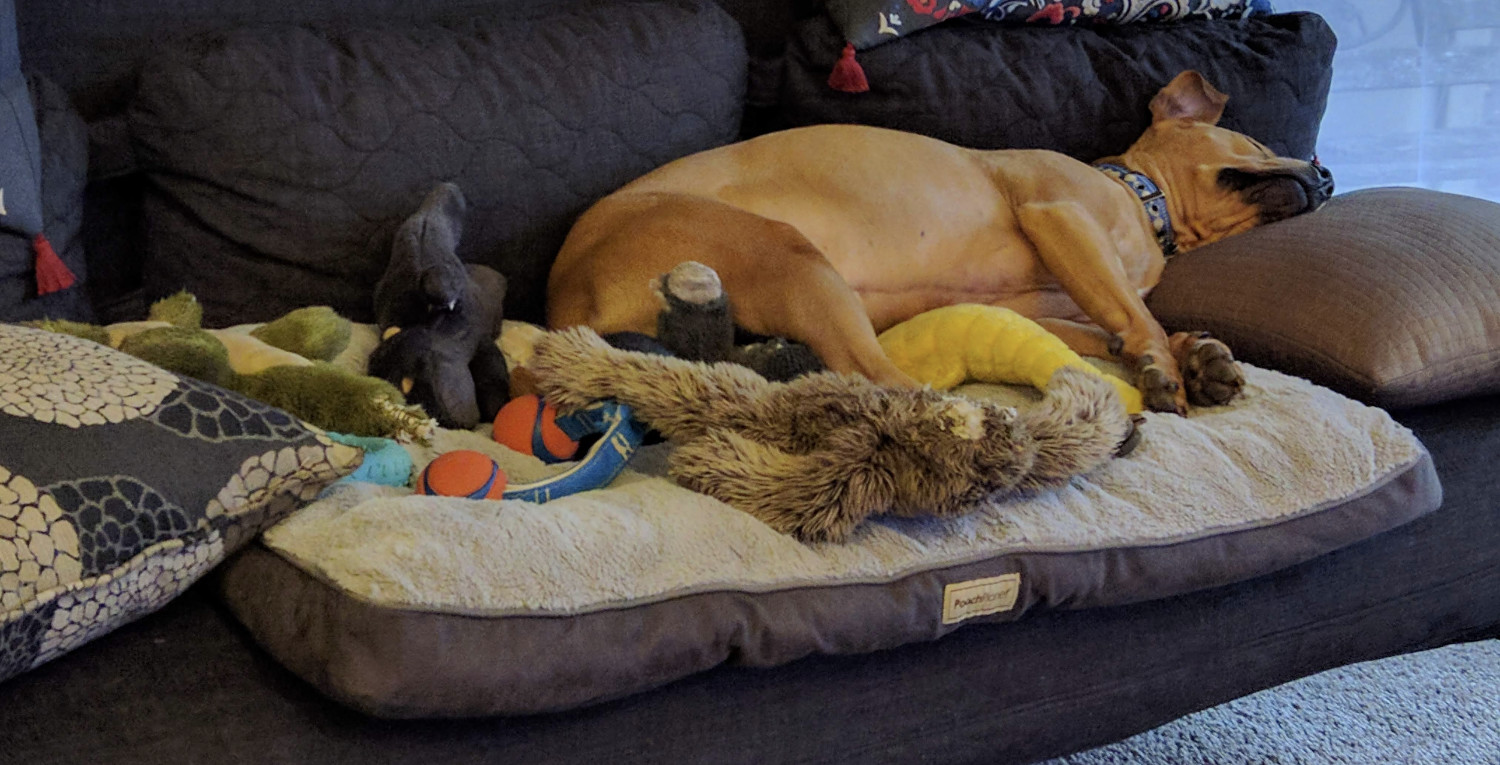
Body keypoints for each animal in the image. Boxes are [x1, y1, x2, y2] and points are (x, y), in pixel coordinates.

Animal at [549, 71, 1338, 414]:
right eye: (1255, 141)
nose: (1328, 173)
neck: (1141, 202)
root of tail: (562, 305)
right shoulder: (1061, 218)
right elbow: (1134, 311)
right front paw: (1165, 364)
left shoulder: (1041, 304)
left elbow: (1113, 324)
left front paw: (1195, 356)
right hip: (788, 251)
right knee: (874, 376)